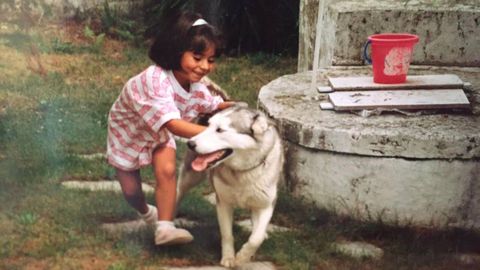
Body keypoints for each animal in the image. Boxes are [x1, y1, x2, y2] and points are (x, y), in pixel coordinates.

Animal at [176, 104, 284, 266]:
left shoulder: (266, 204)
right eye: (209, 125)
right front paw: (228, 258)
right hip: (189, 177)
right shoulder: (223, 202)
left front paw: (243, 257)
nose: (190, 143)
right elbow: (227, 234)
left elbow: (255, 238)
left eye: (220, 130)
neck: (242, 172)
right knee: (177, 192)